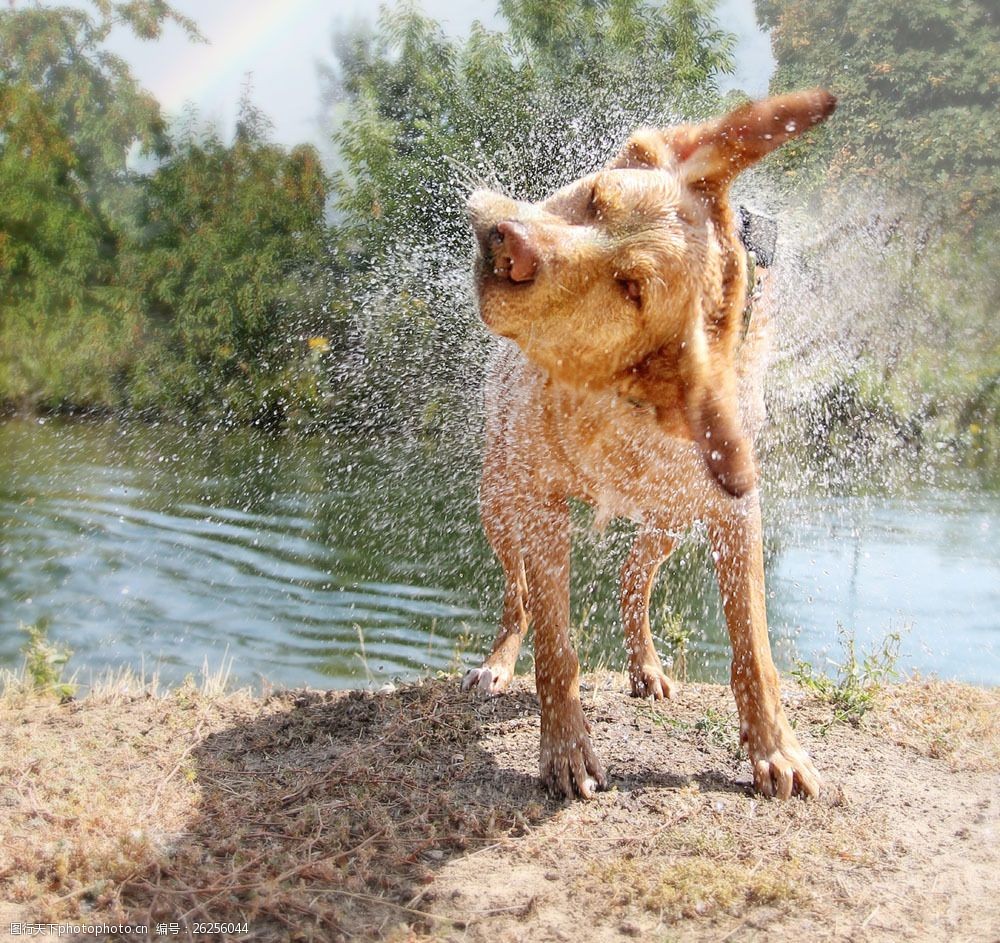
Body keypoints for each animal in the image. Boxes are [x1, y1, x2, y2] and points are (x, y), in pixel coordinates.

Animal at [462, 90, 836, 804]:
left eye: (630, 287)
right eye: (593, 198)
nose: (509, 241)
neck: (614, 394)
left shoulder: (734, 510)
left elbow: (753, 646)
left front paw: (776, 751)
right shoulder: (542, 504)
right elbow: (556, 647)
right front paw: (567, 752)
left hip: (670, 515)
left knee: (633, 576)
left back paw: (646, 666)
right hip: (497, 498)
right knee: (516, 595)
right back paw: (496, 664)